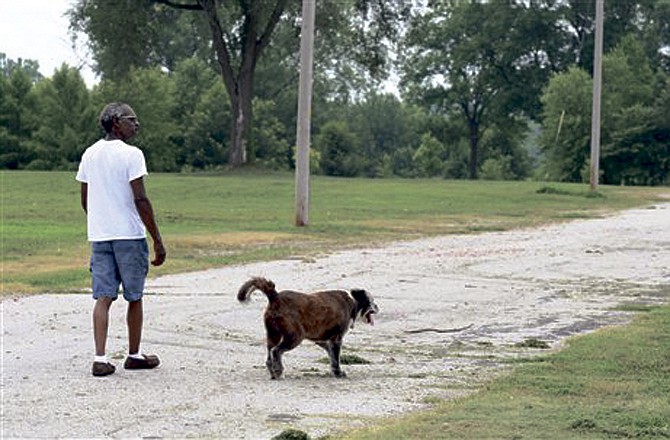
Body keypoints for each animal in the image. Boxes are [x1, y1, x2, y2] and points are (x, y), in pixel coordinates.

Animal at [239, 278, 380, 378]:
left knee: (270, 353)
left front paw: (334, 371)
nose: (378, 306)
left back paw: (273, 372)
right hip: (295, 336)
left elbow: (332, 356)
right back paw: (279, 371)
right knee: (276, 351)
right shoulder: (336, 339)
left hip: (273, 334)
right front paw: (338, 373)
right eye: (372, 301)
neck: (353, 301)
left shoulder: (323, 340)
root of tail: (275, 296)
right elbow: (336, 357)